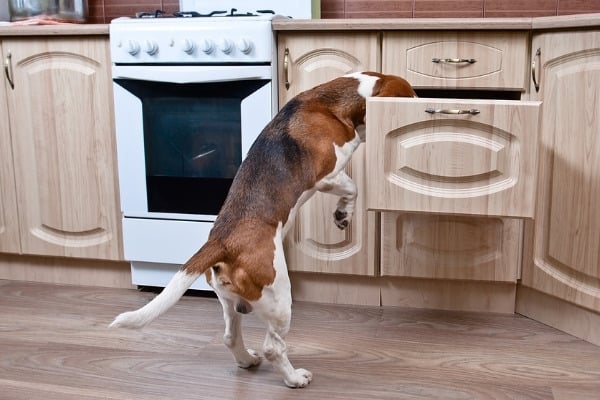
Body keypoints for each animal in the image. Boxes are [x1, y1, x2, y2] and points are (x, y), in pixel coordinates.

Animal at [110, 71, 414, 388]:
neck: (332, 102)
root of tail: (222, 241)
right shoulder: (327, 176)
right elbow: (353, 188)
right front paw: (343, 214)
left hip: (230, 302)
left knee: (231, 337)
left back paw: (247, 360)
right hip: (280, 299)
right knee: (274, 347)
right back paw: (294, 378)